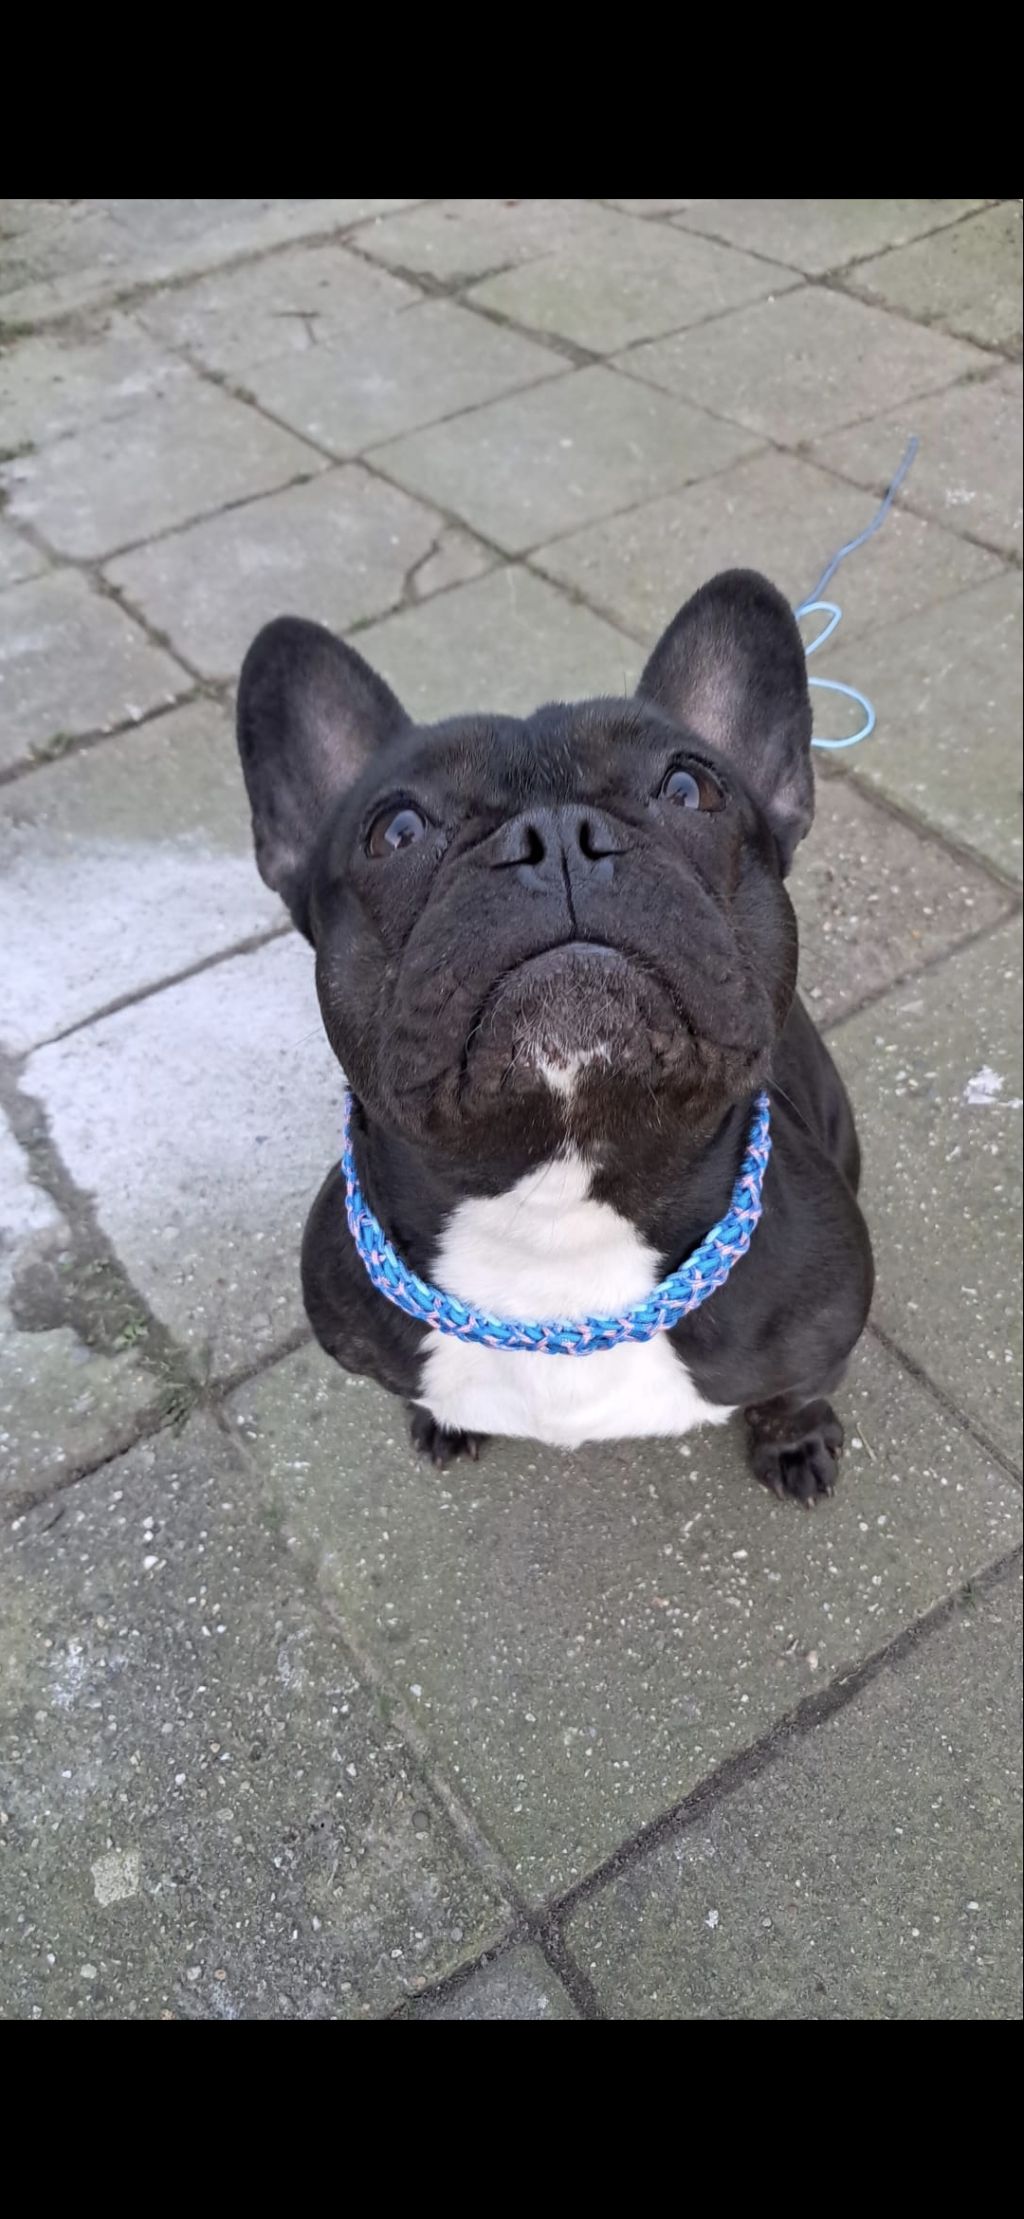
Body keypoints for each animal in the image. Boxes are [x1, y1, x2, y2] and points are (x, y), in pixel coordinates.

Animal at [236, 570, 873, 1503]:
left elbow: (795, 1389)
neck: (554, 1211)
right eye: (396, 830)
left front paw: (792, 1441)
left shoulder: (823, 1330)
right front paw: (443, 1417)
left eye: (690, 789)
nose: (560, 835)